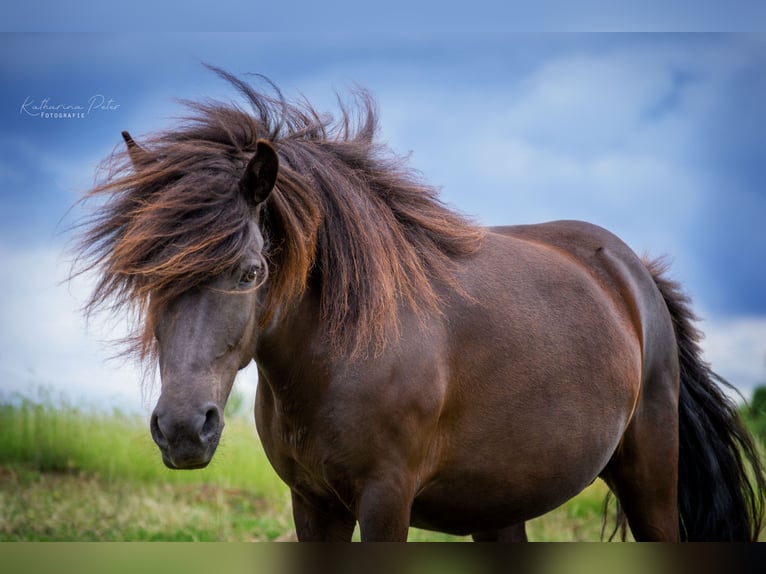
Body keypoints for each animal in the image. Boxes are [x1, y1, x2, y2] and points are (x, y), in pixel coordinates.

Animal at [73, 70, 766, 544]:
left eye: (251, 272)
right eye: (146, 279)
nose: (184, 430)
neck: (343, 353)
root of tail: (634, 272)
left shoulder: (386, 501)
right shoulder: (313, 505)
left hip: (650, 483)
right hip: (501, 509)